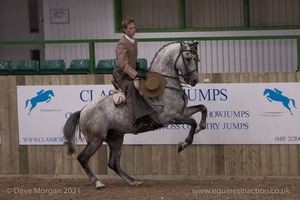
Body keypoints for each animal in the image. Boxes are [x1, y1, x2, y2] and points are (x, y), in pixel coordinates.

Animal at [63, 41, 207, 189]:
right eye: (188, 57)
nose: (195, 80)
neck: (166, 87)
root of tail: (83, 111)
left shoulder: (182, 112)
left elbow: (202, 108)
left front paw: (201, 127)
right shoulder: (170, 117)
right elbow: (192, 122)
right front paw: (183, 144)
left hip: (115, 139)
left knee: (113, 163)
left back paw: (133, 181)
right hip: (96, 139)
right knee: (82, 158)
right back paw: (98, 183)